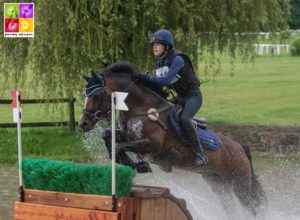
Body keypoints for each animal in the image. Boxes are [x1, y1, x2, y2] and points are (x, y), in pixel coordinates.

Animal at [79, 61, 268, 217]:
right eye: (84, 95)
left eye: (96, 95)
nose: (83, 123)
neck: (141, 108)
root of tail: (241, 148)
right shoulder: (127, 136)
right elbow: (108, 136)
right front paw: (132, 163)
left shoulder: (151, 145)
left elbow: (120, 147)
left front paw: (140, 165)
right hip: (218, 184)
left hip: (240, 183)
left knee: (251, 207)